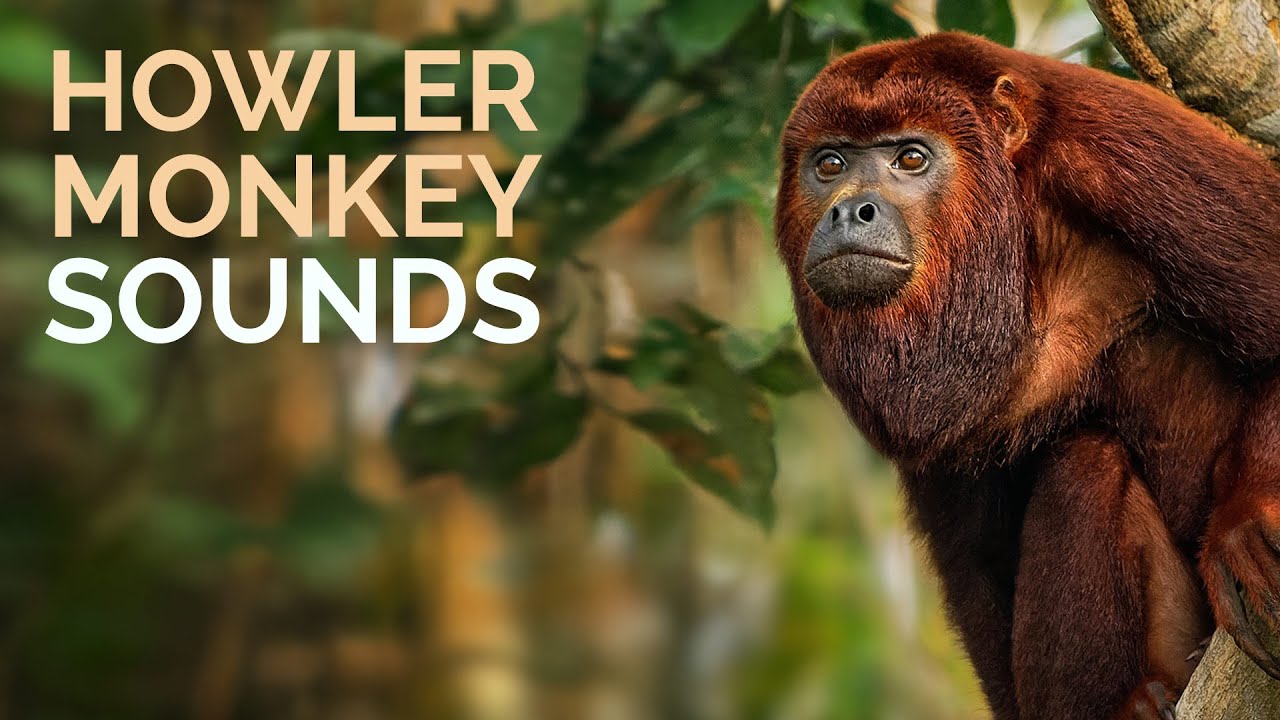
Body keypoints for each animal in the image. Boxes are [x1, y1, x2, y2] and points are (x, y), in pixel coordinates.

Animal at [774, 32, 1280, 720]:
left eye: (911, 157)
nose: (850, 211)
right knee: (1085, 463)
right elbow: (975, 562)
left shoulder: (1133, 159)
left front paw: (1245, 519)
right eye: (829, 164)